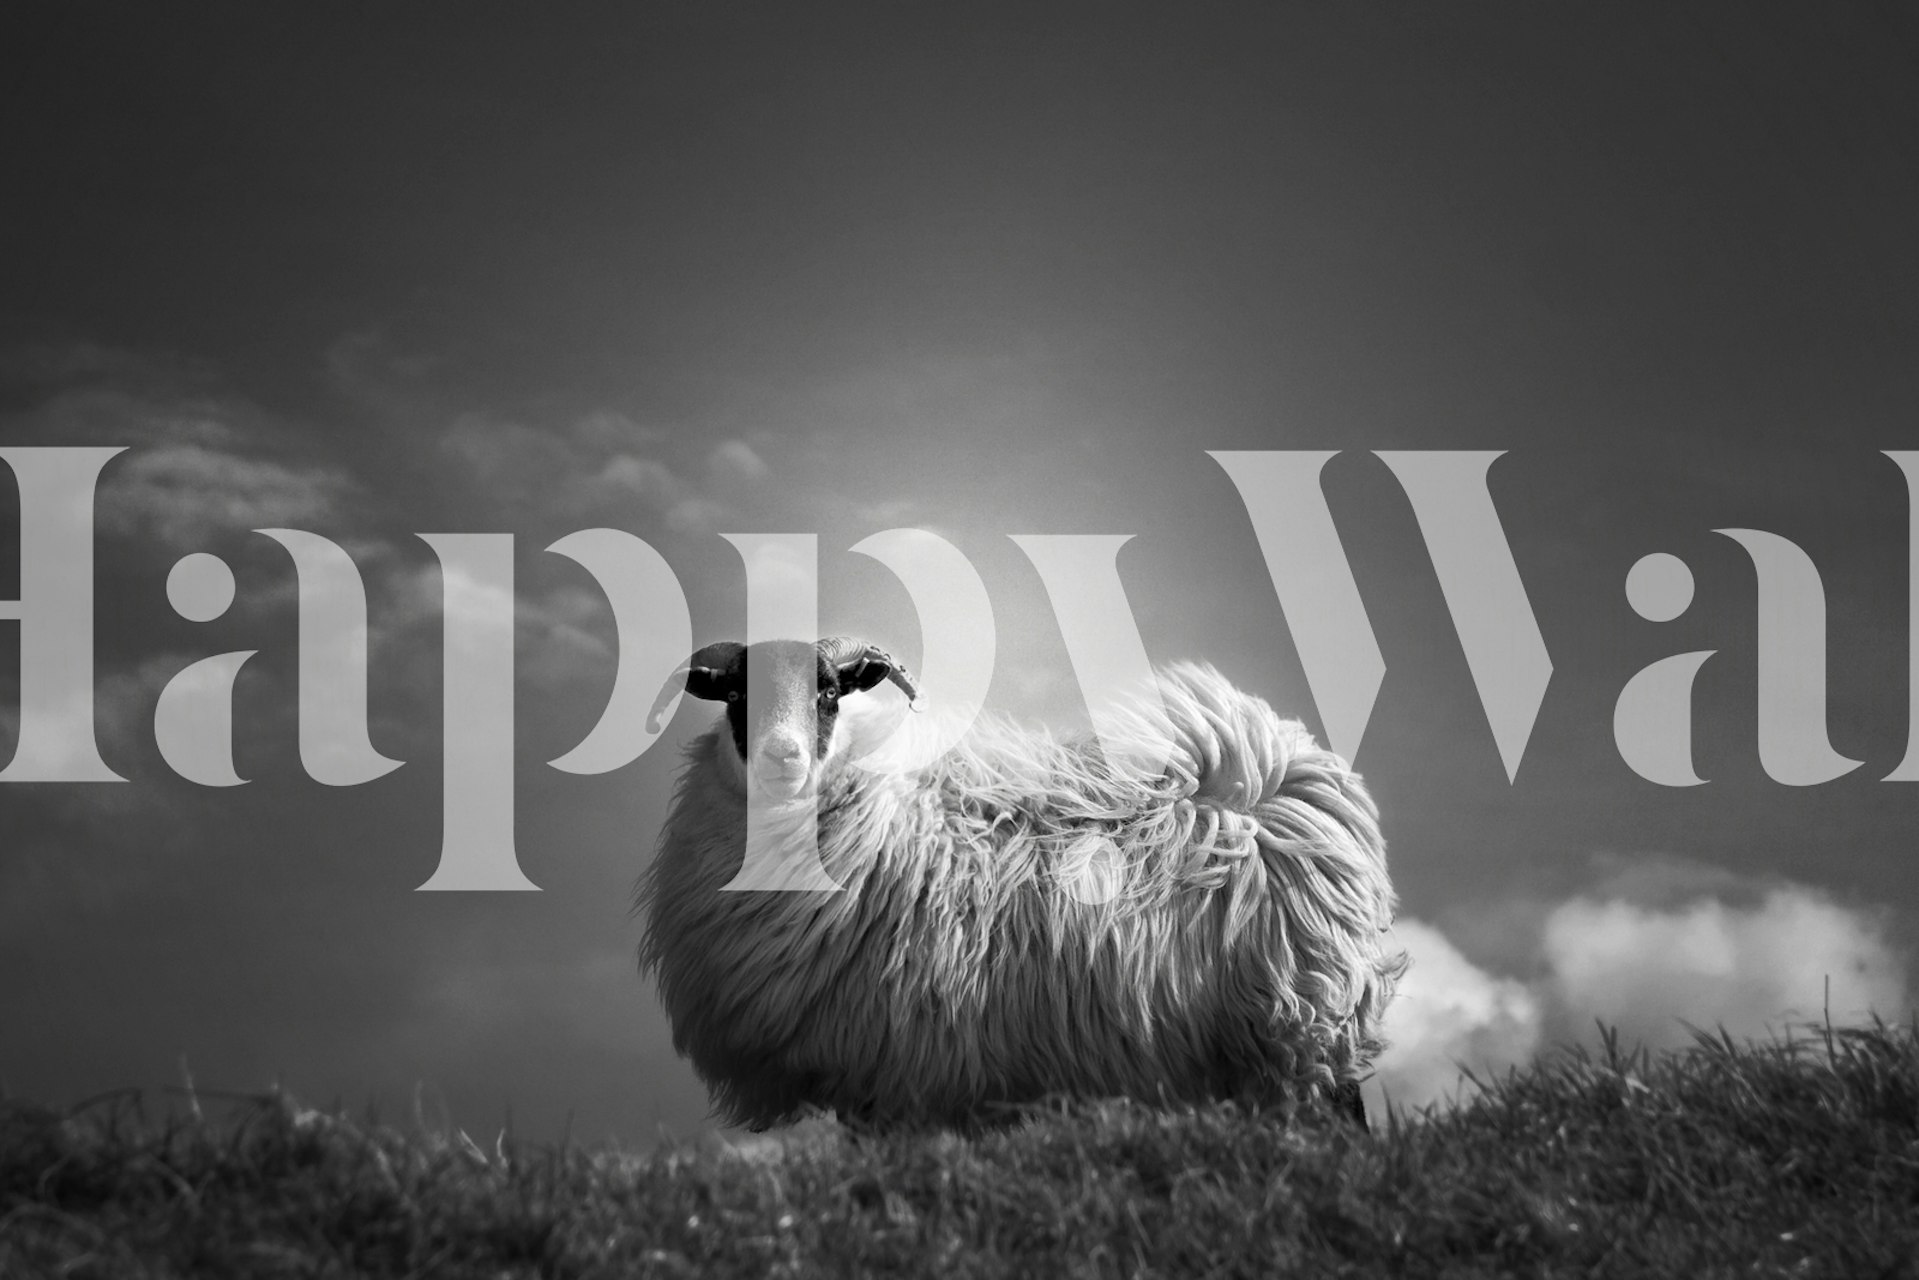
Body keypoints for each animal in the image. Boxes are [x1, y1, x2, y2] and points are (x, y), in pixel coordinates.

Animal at [636, 635, 1403, 1131]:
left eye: (828, 691)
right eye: (734, 694)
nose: (783, 757)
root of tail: (1273, 768)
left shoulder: (895, 1065)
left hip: (1299, 1018)